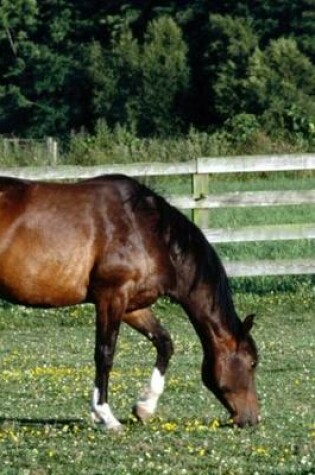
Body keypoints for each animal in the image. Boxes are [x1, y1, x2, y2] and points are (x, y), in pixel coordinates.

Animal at [0, 175, 260, 432]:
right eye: (252, 363)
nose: (251, 419)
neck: (145, 230)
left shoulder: (132, 305)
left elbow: (164, 343)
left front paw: (144, 407)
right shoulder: (111, 296)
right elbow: (105, 353)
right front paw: (106, 416)